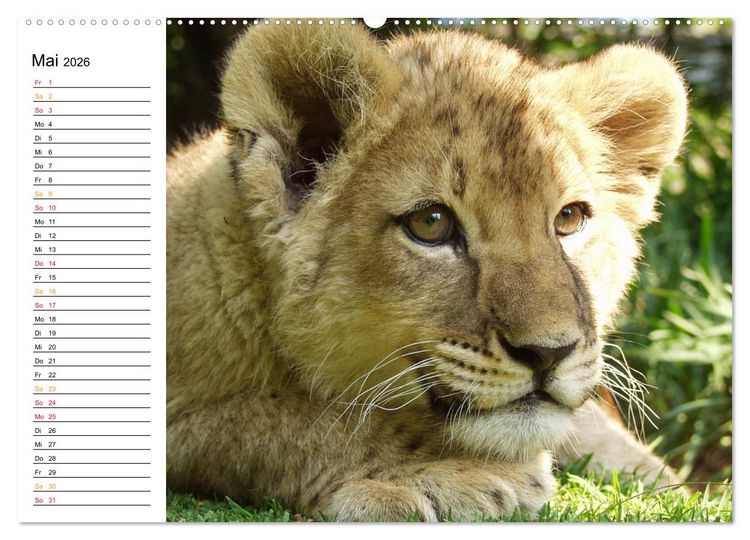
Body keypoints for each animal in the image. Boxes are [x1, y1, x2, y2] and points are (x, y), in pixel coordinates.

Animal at [166, 23, 688, 521]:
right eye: (431, 224)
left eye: (569, 219)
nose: (548, 353)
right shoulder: (181, 421)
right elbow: (282, 423)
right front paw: (457, 473)